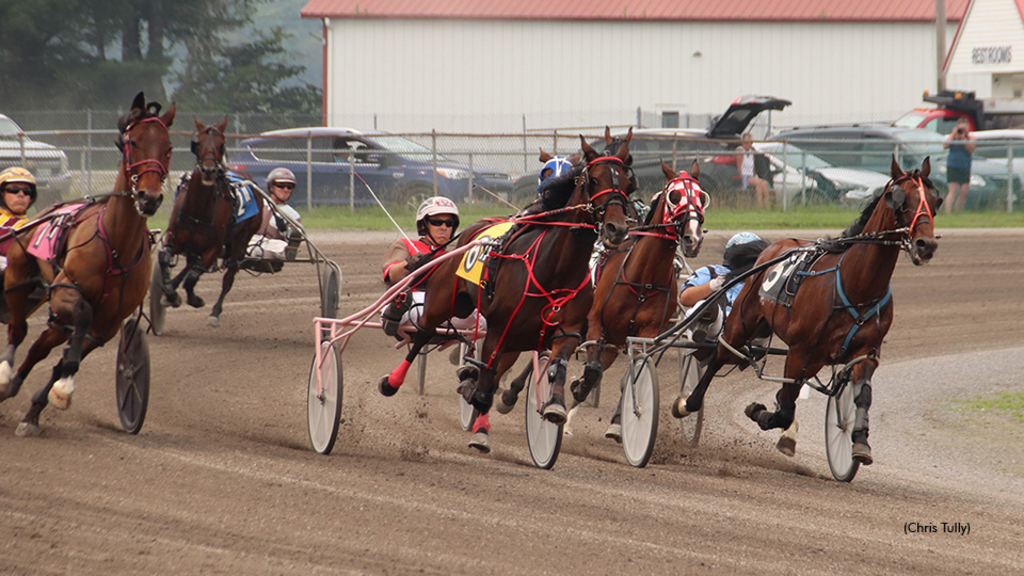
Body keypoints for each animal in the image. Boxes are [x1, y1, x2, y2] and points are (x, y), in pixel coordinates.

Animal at [0, 91, 175, 432]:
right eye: (133, 141)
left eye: (169, 147)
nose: (149, 198)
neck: (116, 246)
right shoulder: (67, 293)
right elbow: (81, 317)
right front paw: (62, 390)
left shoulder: (109, 322)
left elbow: (69, 358)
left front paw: (47, 400)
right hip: (18, 281)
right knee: (18, 330)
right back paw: (5, 377)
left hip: (55, 314)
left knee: (40, 345)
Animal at [155, 116, 266, 327]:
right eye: (197, 143)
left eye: (222, 144)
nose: (208, 170)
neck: (198, 210)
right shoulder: (174, 239)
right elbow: (165, 259)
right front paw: (170, 292)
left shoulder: (213, 249)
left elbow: (193, 277)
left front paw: (195, 299)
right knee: (190, 264)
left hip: (241, 242)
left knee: (228, 276)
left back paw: (215, 312)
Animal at [376, 132, 630, 446]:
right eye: (593, 179)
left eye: (628, 182)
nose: (617, 228)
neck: (556, 269)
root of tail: (475, 228)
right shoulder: (500, 328)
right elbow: (486, 377)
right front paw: (481, 430)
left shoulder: (565, 330)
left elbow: (555, 365)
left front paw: (554, 406)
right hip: (447, 302)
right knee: (423, 332)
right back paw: (393, 379)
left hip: (514, 334)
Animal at [675, 156, 937, 461]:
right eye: (899, 199)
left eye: (934, 199)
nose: (926, 244)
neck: (855, 284)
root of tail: (774, 246)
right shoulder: (800, 349)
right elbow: (785, 409)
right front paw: (760, 412)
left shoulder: (865, 352)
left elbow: (861, 396)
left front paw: (859, 440)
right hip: (744, 323)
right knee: (720, 353)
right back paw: (688, 402)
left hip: (815, 357)